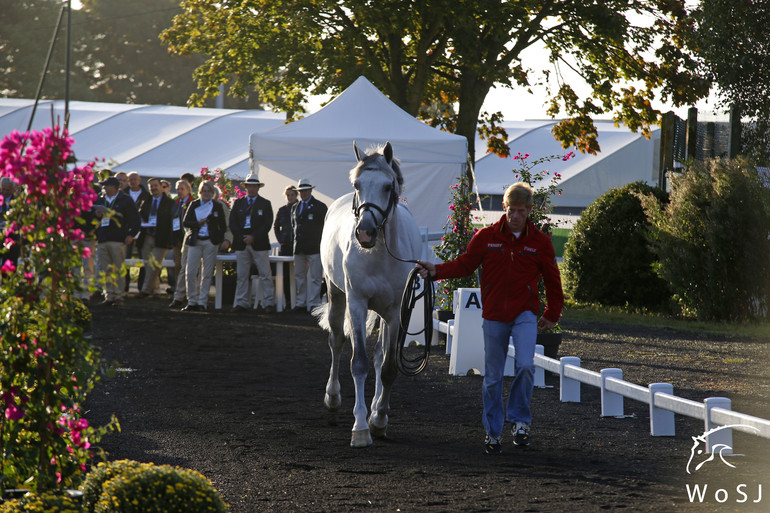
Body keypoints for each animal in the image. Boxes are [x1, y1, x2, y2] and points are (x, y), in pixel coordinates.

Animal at [316, 142, 424, 446]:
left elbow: (387, 367)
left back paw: (377, 408)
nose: (364, 233)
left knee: (380, 356)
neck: (379, 255)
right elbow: (359, 363)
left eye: (388, 186)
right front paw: (361, 428)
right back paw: (333, 398)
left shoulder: (397, 313)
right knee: (337, 341)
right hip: (337, 297)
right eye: (357, 184)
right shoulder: (356, 303)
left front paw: (378, 420)